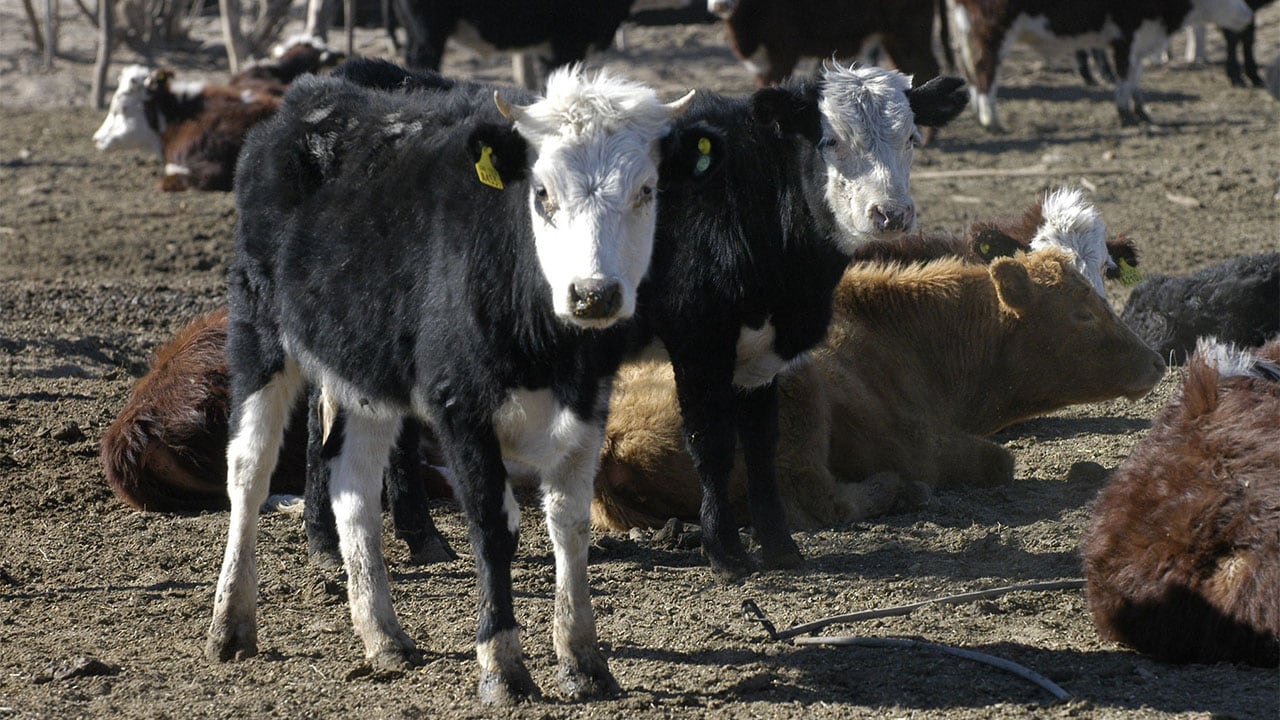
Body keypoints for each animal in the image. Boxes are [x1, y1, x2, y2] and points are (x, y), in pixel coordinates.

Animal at [204, 67, 696, 702]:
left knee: (353, 482)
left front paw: (583, 661)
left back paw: (384, 637)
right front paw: (502, 667)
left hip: (365, 370)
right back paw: (230, 625)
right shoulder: (459, 406)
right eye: (542, 192)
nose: (593, 295)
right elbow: (493, 526)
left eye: (646, 190)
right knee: (249, 470)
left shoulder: (589, 401)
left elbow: (569, 523)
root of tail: (307, 99)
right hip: (259, 331)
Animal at [947, 0, 1254, 128]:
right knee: (985, 74)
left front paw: (1142, 112)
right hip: (990, 32)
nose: (1249, 13)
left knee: (971, 75)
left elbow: (1135, 77)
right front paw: (1125, 115)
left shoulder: (1140, 38)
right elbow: (1125, 76)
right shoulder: (1126, 35)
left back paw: (980, 115)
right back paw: (992, 120)